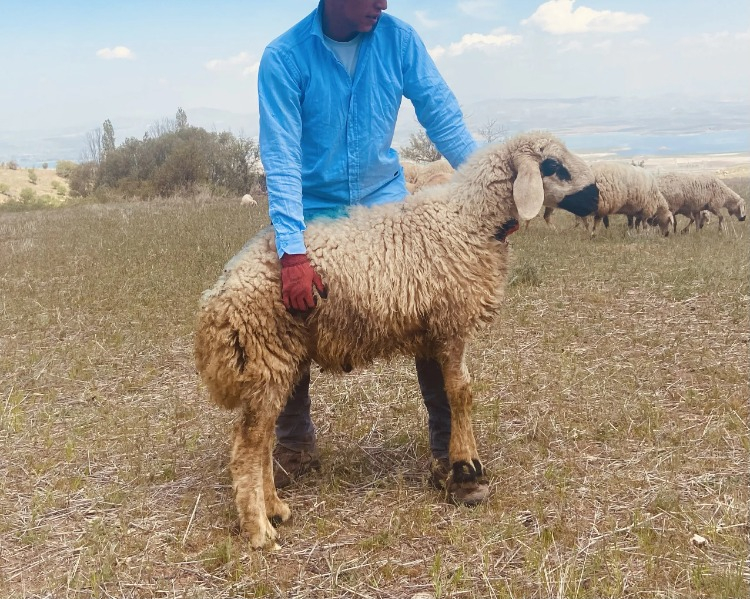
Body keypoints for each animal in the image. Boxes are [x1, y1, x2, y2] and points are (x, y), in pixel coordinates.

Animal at [193, 131, 600, 549]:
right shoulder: (451, 325)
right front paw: (466, 463)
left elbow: (451, 394)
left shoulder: (437, 330)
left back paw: (275, 508)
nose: (596, 199)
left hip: (274, 360)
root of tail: (218, 295)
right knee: (247, 446)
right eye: (552, 165)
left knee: (261, 442)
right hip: (266, 352)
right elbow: (461, 393)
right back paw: (259, 529)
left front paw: (461, 468)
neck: (467, 220)